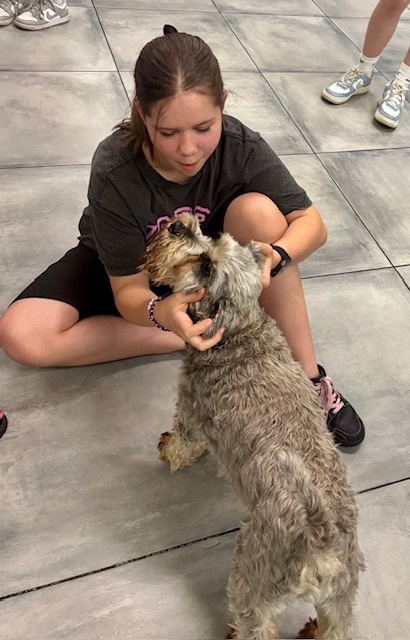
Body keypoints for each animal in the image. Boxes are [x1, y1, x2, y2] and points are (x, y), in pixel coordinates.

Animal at [141, 212, 365, 640]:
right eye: (212, 238)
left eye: (207, 267)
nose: (179, 224)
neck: (240, 330)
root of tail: (322, 542)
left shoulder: (191, 407)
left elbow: (184, 440)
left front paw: (170, 450)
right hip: (340, 599)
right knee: (335, 628)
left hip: (252, 577)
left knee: (256, 623)